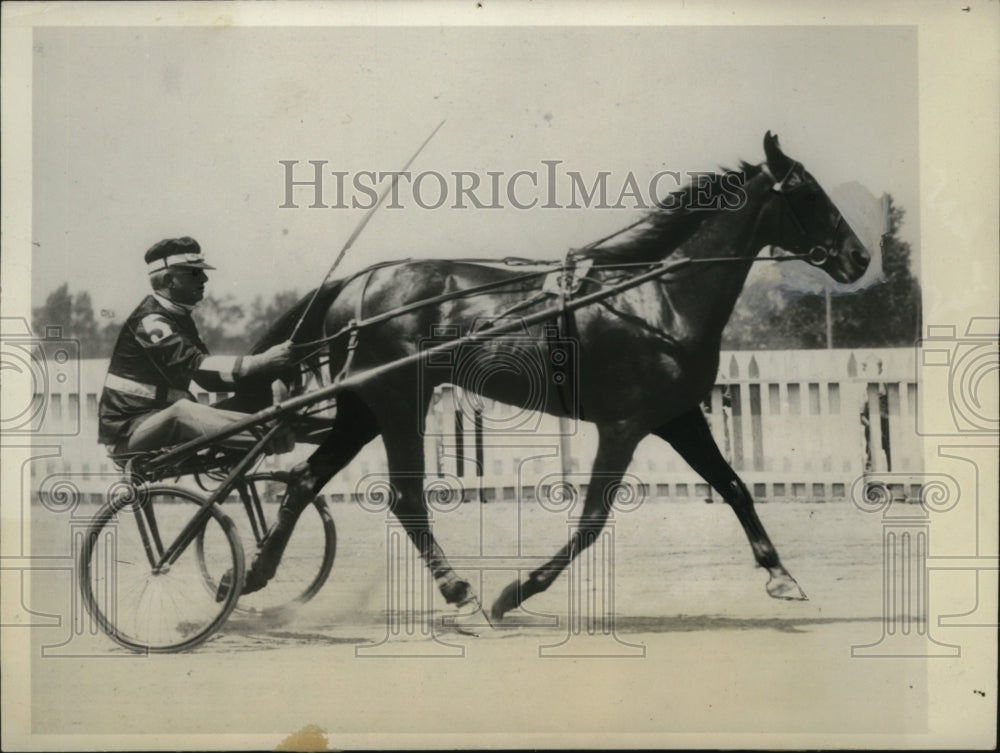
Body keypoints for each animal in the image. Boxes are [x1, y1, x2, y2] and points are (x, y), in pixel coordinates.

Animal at [230, 132, 872, 624]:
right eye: (808, 193)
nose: (859, 258)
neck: (656, 298)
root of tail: (358, 283)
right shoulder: (625, 425)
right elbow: (590, 521)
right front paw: (515, 592)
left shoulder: (678, 416)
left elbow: (735, 485)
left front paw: (781, 574)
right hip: (397, 404)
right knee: (407, 498)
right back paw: (460, 591)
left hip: (364, 409)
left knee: (305, 481)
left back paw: (255, 574)